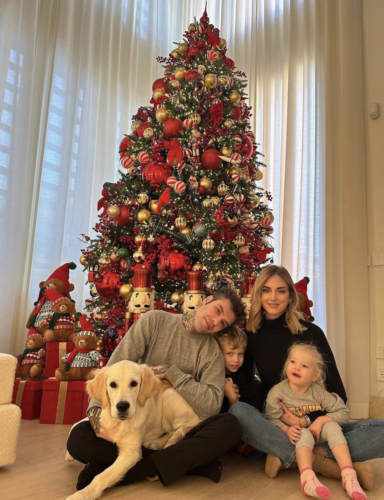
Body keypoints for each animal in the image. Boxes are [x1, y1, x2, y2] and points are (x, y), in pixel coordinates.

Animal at [65, 362, 201, 500]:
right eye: (113, 384)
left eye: (134, 383)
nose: (122, 406)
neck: (119, 422)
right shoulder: (101, 416)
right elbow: (75, 424)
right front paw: (68, 454)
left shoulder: (130, 453)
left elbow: (103, 476)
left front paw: (83, 494)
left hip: (169, 397)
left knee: (182, 427)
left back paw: (156, 443)